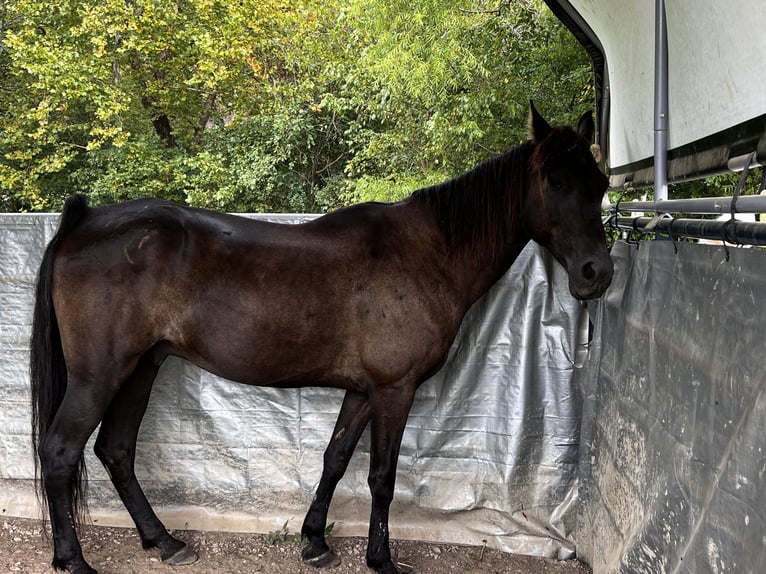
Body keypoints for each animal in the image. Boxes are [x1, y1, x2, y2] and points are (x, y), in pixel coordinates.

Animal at [30, 103, 613, 574]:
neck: (426, 254)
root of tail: (82, 222)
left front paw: (314, 541)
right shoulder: (395, 390)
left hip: (141, 368)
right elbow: (381, 475)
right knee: (60, 451)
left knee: (116, 450)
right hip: (100, 375)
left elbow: (335, 459)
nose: (596, 273)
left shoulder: (362, 390)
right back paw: (73, 559)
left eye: (601, 185)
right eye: (554, 181)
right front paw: (381, 559)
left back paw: (164, 541)